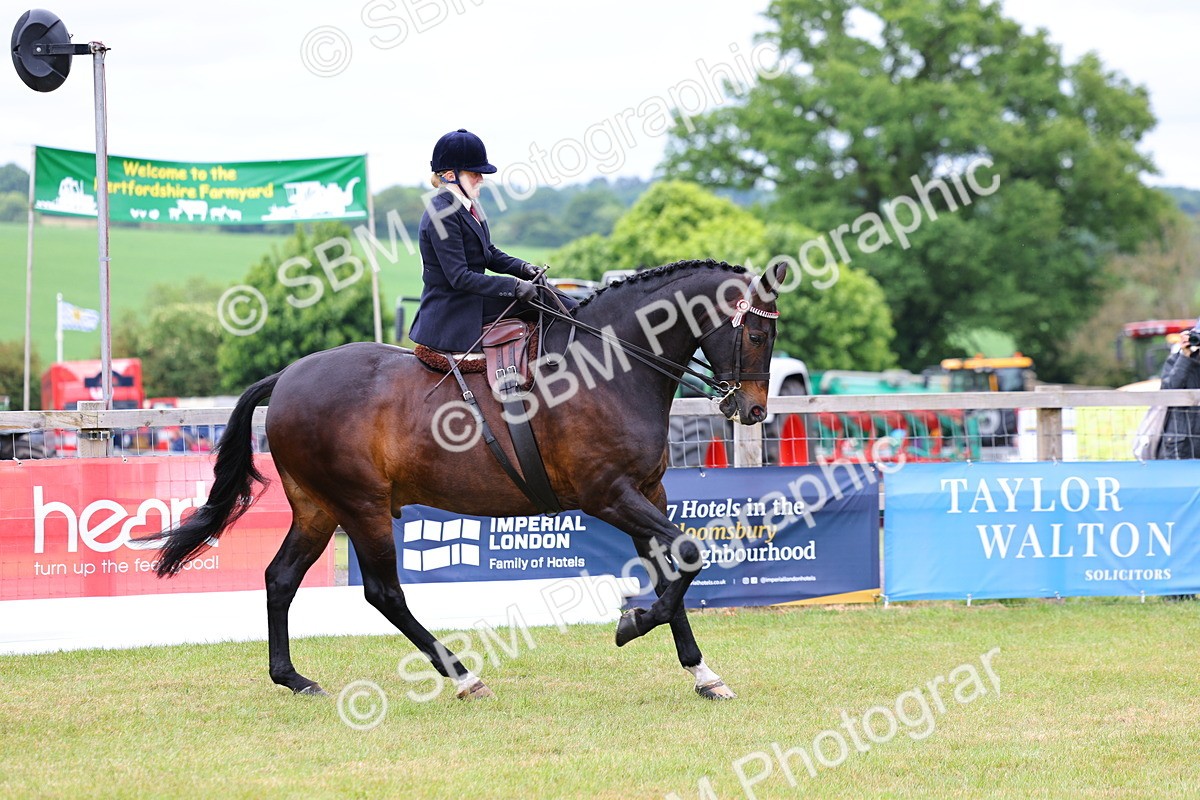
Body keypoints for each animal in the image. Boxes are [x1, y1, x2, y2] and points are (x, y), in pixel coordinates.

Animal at [147, 258, 788, 700]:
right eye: (758, 336)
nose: (753, 411)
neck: (611, 366)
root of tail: (285, 377)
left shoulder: (646, 491)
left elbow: (672, 567)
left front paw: (704, 674)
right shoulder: (609, 494)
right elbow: (687, 554)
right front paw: (632, 624)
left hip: (318, 508)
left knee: (280, 578)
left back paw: (293, 678)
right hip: (362, 506)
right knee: (383, 593)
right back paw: (461, 675)